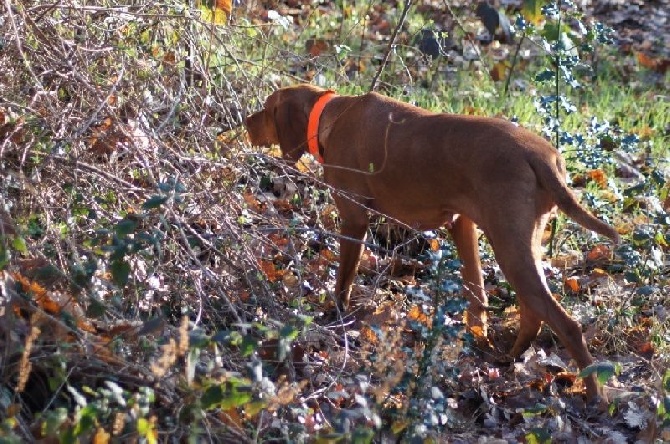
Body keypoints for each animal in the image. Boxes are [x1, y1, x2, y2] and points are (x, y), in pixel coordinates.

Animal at [247, 85, 620, 400]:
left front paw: (336, 317)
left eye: (266, 109)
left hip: (509, 245)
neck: (334, 114)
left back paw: (594, 396)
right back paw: (508, 357)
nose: (245, 123)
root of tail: (543, 157)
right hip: (520, 243)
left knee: (565, 323)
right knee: (533, 311)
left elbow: (344, 282)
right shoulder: (462, 224)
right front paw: (476, 335)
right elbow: (477, 295)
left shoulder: (354, 220)